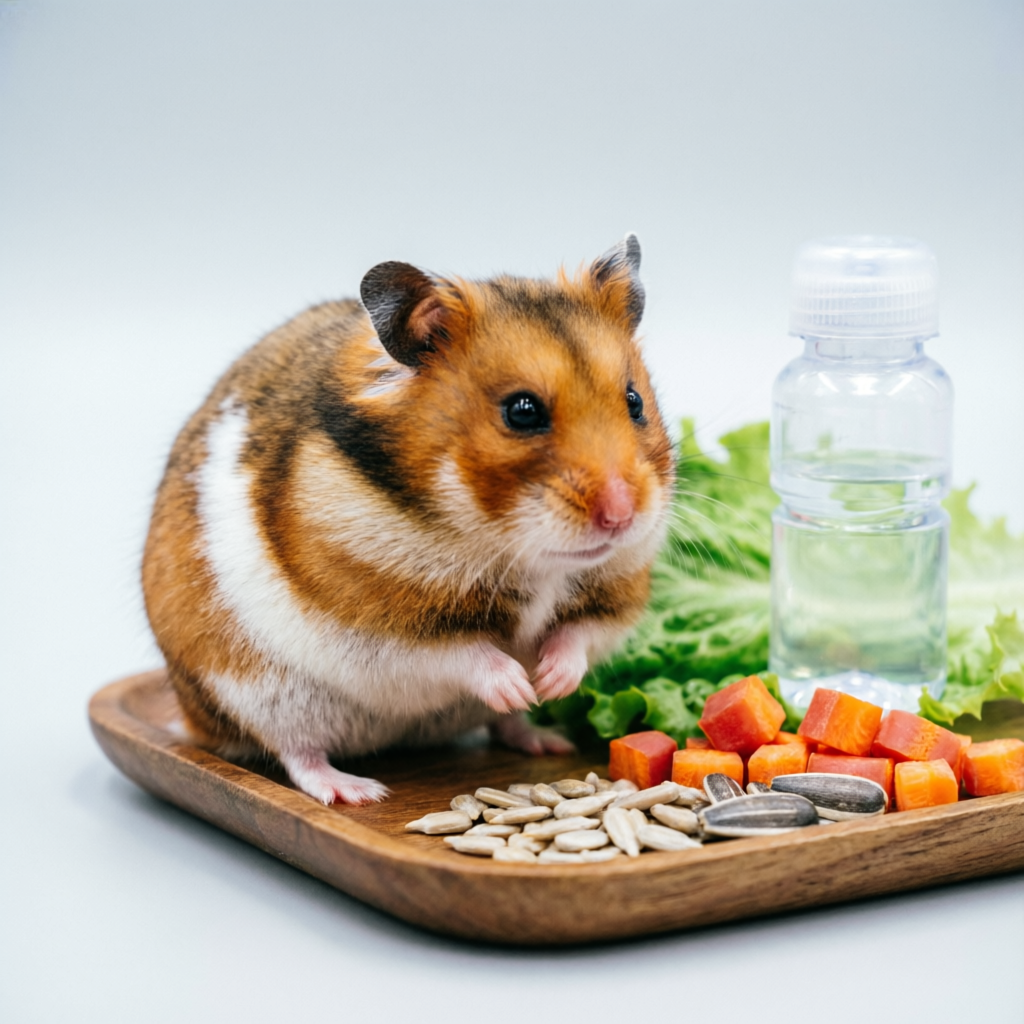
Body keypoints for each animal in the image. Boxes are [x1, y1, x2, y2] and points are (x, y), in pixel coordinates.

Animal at [142, 234, 675, 805]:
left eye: (635, 401)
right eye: (522, 411)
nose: (621, 516)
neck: (520, 551)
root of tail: (191, 721)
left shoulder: (614, 599)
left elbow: (578, 634)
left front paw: (550, 683)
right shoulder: (383, 628)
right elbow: (465, 655)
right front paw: (517, 683)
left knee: (502, 726)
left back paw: (544, 737)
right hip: (260, 695)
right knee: (296, 754)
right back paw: (356, 790)